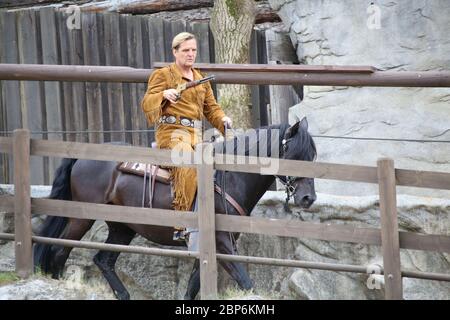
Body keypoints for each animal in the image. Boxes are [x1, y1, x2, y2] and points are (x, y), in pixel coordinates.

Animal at [33, 118, 316, 300]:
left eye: (312, 157)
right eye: (295, 156)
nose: (308, 198)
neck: (229, 176)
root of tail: (81, 155)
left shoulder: (209, 247)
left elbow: (193, 286)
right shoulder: (221, 242)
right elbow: (246, 282)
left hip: (123, 228)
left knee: (102, 260)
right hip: (82, 218)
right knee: (59, 250)